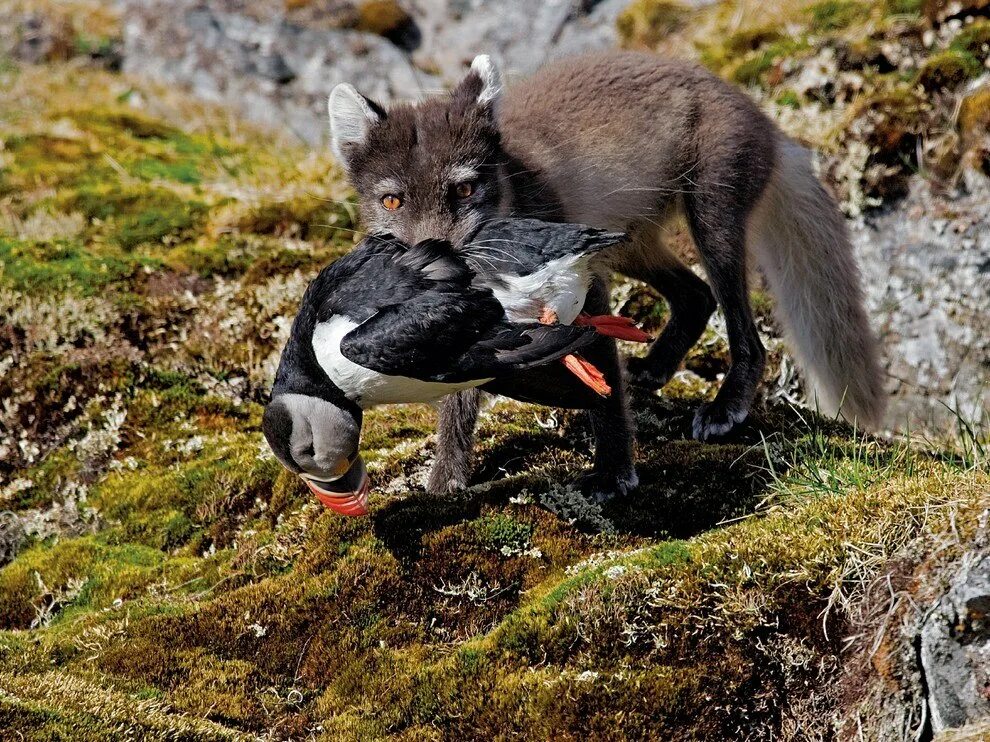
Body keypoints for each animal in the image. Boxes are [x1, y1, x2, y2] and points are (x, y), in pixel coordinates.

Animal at [330, 49, 888, 502]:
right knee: (695, 296)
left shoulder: (587, 289)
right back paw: (653, 369)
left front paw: (613, 474)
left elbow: (603, 392)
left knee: (744, 331)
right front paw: (448, 475)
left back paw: (724, 406)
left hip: (711, 220)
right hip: (627, 244)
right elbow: (458, 397)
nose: (434, 256)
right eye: (392, 201)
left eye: (465, 190)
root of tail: (759, 113)